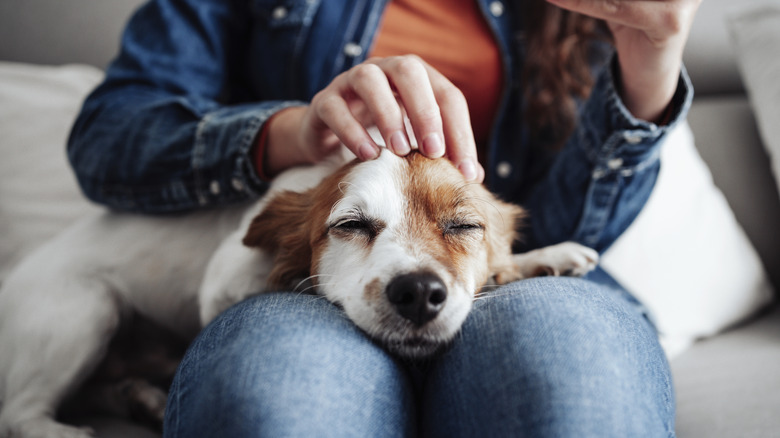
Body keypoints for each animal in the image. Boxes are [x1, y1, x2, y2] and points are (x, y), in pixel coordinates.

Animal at [0, 148, 596, 438]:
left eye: (465, 227)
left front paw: (545, 256)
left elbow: (503, 263)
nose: (419, 292)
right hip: (86, 310)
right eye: (351, 225)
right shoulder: (221, 280)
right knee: (19, 413)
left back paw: (139, 398)